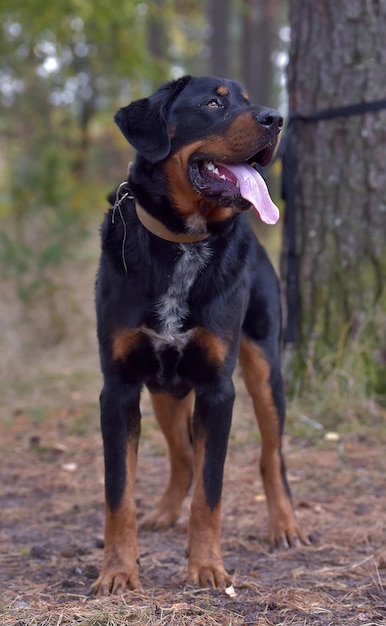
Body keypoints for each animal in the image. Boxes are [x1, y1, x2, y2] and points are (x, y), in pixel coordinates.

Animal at [92, 75, 306, 592]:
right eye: (213, 104)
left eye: (248, 102)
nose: (276, 119)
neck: (183, 244)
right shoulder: (119, 388)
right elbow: (118, 493)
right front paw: (117, 571)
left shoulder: (216, 388)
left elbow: (212, 491)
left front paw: (207, 566)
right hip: (164, 391)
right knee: (183, 455)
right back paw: (165, 513)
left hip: (265, 369)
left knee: (272, 456)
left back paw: (285, 525)